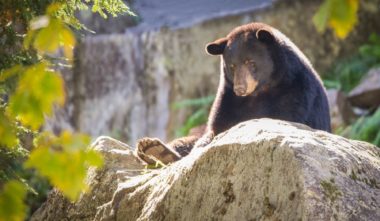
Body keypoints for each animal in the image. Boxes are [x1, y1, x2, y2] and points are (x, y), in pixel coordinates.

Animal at [136, 22, 330, 164]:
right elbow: (216, 127)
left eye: (251, 62)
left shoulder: (296, 91)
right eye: (232, 66)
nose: (240, 88)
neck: (259, 92)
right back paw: (153, 148)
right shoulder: (228, 97)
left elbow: (286, 117)